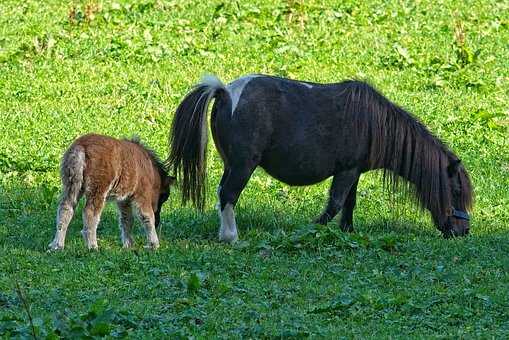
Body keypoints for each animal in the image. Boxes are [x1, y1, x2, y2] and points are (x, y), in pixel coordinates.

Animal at [168, 75, 472, 243]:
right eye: (456, 190)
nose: (463, 231)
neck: (372, 123)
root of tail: (224, 92)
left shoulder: (353, 171)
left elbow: (349, 203)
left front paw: (347, 231)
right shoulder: (347, 171)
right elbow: (335, 204)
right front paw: (311, 229)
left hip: (232, 164)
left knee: (222, 194)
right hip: (244, 165)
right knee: (229, 195)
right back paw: (231, 238)